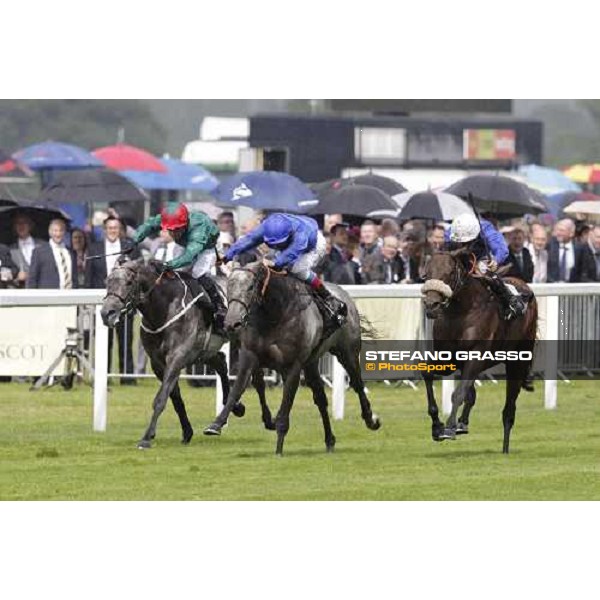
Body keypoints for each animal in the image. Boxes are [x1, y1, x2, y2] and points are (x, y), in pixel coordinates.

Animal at [99, 260, 245, 448]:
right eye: (107, 282)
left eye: (129, 282)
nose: (106, 313)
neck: (163, 309)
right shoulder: (158, 363)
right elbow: (175, 397)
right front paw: (187, 432)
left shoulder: (177, 357)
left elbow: (161, 398)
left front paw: (146, 438)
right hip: (203, 351)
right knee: (221, 361)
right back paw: (233, 407)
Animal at [202, 262, 380, 454]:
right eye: (229, 287)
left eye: (250, 287)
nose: (231, 323)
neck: (274, 314)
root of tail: (344, 295)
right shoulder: (250, 357)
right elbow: (237, 390)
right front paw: (216, 424)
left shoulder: (293, 366)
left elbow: (286, 404)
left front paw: (279, 448)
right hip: (311, 363)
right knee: (320, 399)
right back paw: (329, 440)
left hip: (347, 352)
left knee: (357, 383)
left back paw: (371, 419)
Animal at [420, 250, 536, 454]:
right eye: (426, 273)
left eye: (450, 273)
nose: (431, 305)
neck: (460, 313)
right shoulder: (447, 358)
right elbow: (428, 374)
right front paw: (436, 426)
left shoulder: (476, 355)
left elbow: (458, 393)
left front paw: (449, 427)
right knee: (472, 393)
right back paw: (463, 423)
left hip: (517, 360)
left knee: (509, 408)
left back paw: (505, 447)